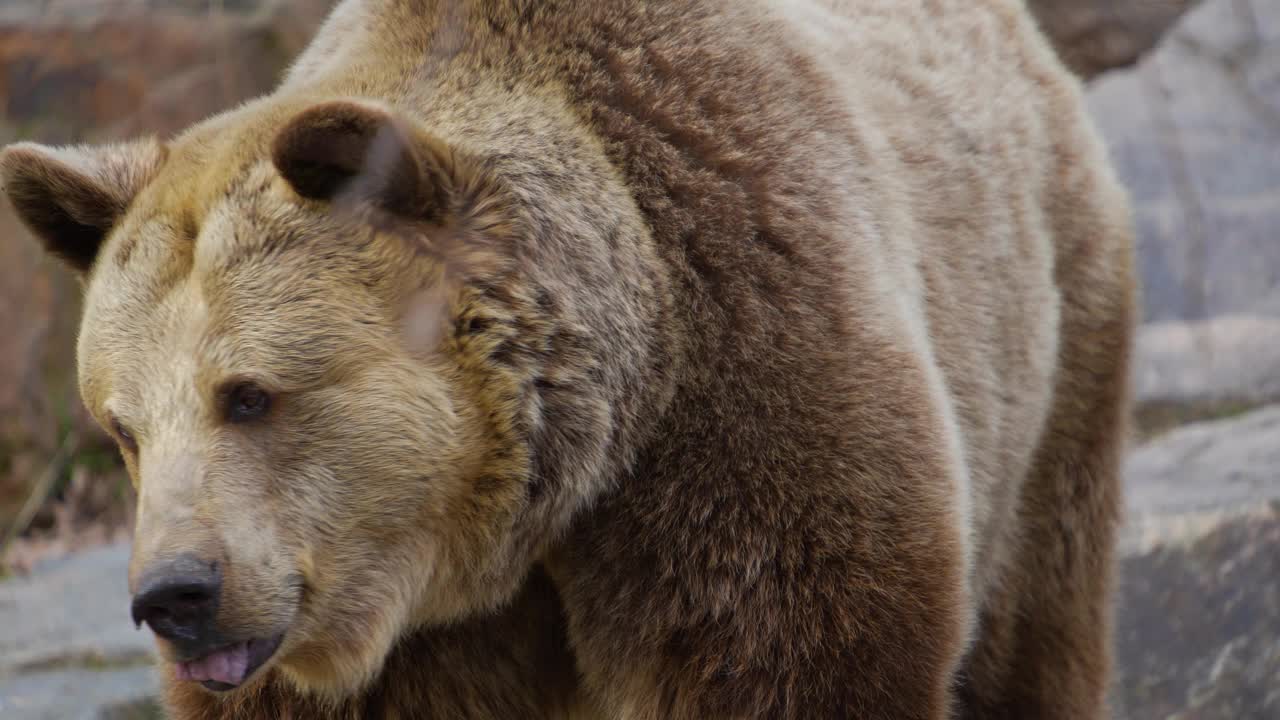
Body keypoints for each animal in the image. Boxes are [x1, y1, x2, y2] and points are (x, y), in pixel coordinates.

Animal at [2, 0, 1141, 712]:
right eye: (123, 427)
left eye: (249, 394)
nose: (175, 595)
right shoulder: (402, 647)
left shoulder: (746, 396)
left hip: (1044, 352)